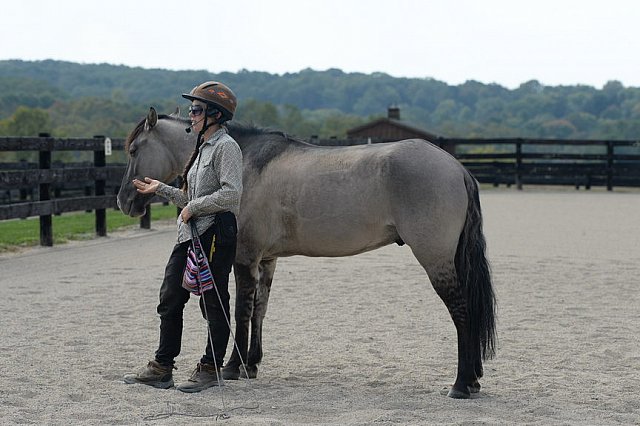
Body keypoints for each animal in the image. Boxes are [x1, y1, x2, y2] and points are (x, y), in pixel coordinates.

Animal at [117, 107, 498, 400]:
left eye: (134, 149)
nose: (124, 201)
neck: (244, 160)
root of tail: (456, 167)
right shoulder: (266, 260)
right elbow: (259, 310)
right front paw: (251, 363)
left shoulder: (244, 258)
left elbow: (240, 312)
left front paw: (232, 367)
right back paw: (473, 379)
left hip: (436, 259)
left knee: (462, 311)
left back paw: (461, 384)